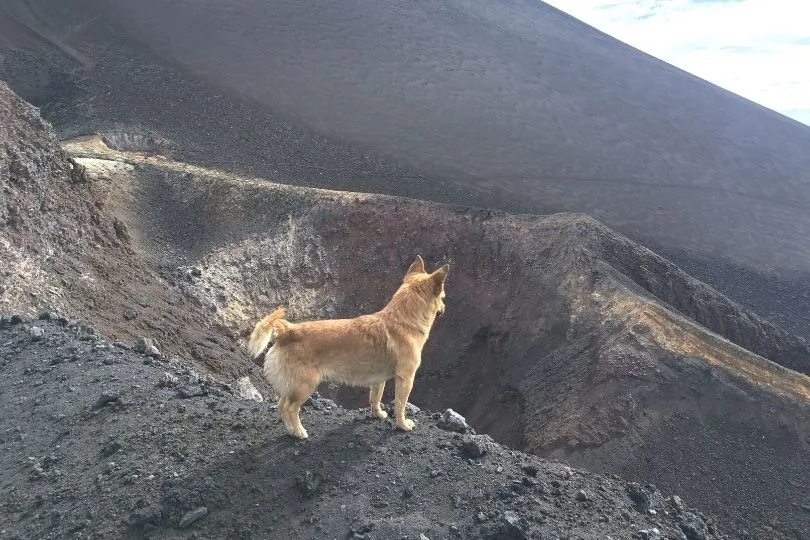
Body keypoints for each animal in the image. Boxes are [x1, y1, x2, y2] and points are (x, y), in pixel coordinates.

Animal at [246, 256, 448, 438]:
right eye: (443, 297)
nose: (444, 308)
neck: (403, 320)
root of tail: (289, 330)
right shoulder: (406, 379)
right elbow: (400, 405)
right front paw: (402, 424)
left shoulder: (378, 379)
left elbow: (376, 397)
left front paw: (378, 414)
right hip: (304, 385)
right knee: (290, 407)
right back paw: (299, 432)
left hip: (292, 385)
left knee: (281, 405)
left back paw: (290, 429)